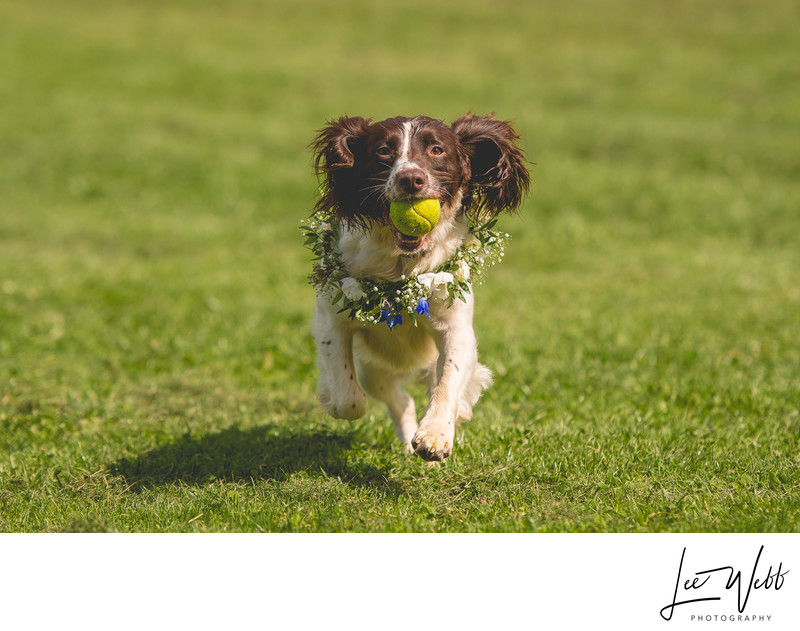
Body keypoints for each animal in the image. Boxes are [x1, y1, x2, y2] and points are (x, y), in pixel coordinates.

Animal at [310, 115, 528, 460]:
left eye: (437, 149)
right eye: (383, 150)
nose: (411, 179)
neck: (401, 267)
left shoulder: (456, 328)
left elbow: (448, 382)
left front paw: (435, 435)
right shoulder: (330, 319)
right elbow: (349, 401)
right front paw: (329, 398)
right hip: (374, 369)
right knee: (398, 399)